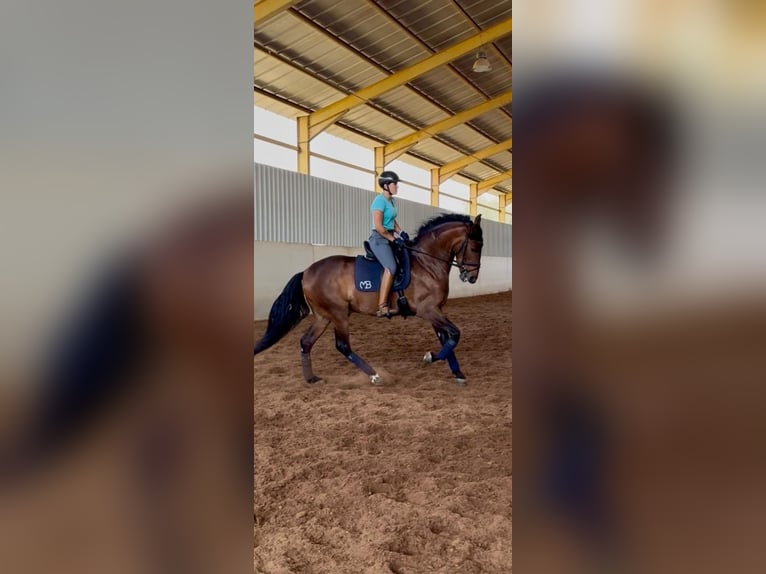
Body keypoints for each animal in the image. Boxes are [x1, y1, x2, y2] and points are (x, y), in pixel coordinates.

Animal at [254, 213, 485, 386]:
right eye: (475, 247)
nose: (472, 277)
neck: (427, 262)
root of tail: (306, 272)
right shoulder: (428, 310)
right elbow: (455, 334)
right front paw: (430, 358)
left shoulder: (435, 310)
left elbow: (448, 338)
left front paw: (458, 373)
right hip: (338, 314)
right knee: (342, 345)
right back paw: (375, 375)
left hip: (323, 316)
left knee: (306, 342)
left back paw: (311, 379)